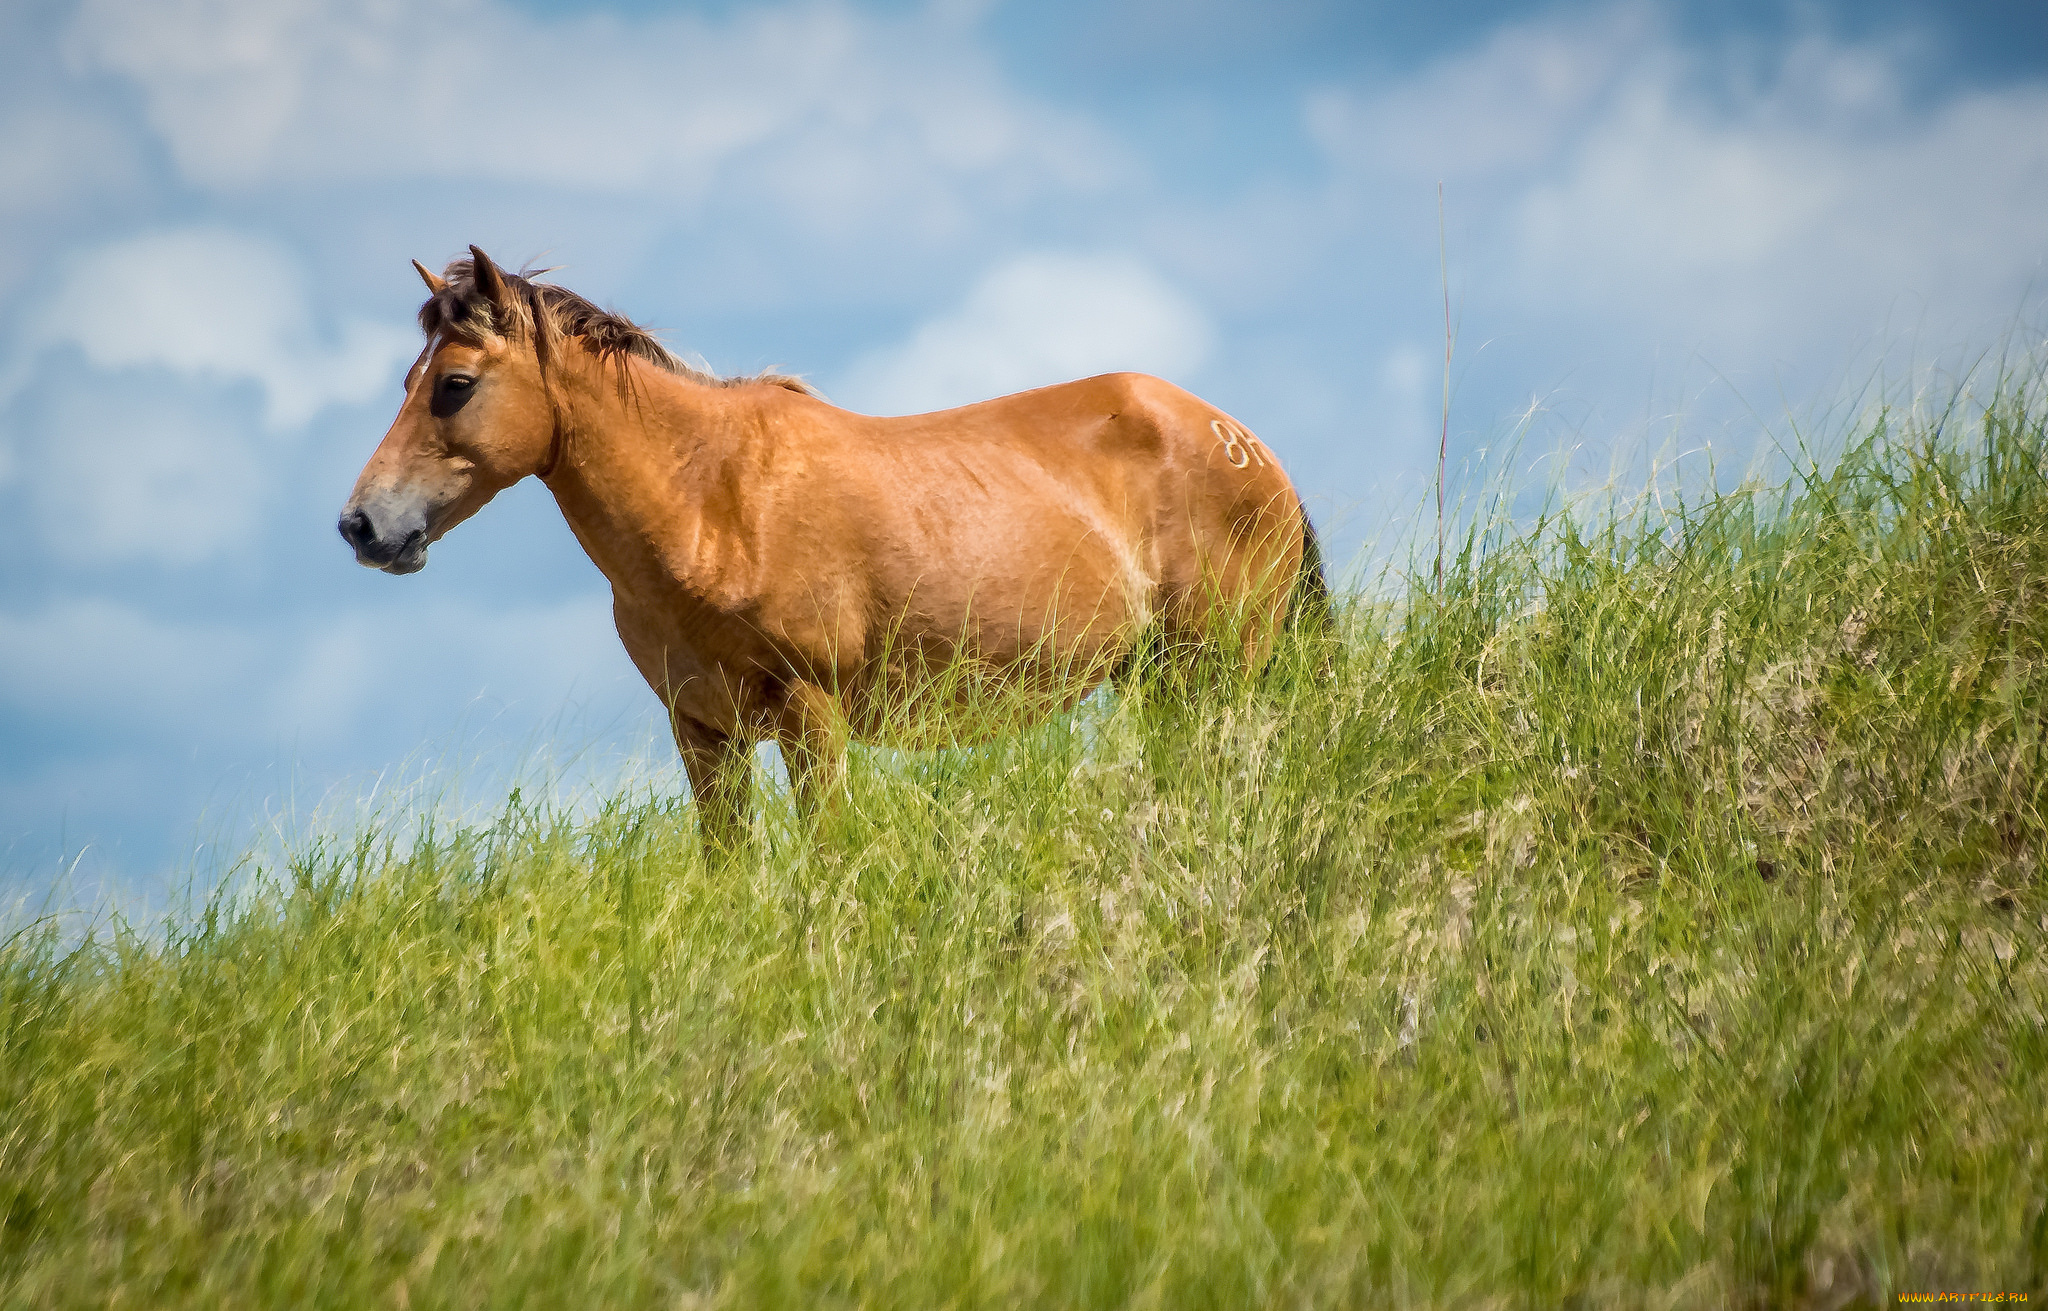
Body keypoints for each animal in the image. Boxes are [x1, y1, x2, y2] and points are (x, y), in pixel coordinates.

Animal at [335, 250, 1327, 856]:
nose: (361, 526)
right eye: (413, 379)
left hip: (1212, 672)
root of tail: (1243, 442)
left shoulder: (814, 719)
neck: (715, 502)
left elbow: (827, 852)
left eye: (455, 385)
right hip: (1157, 677)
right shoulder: (705, 734)